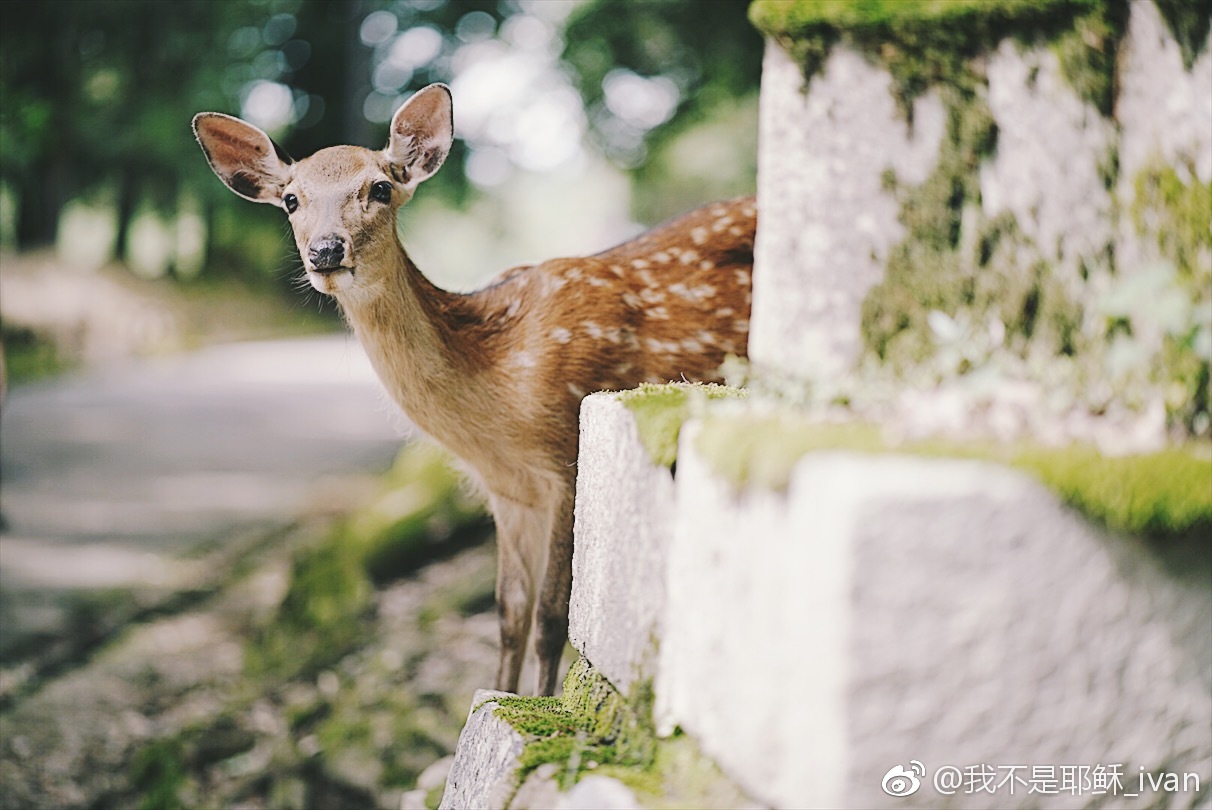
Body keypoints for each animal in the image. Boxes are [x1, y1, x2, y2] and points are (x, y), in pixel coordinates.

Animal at [193, 83, 755, 696]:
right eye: (292, 200)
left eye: (380, 187)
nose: (325, 250)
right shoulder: (508, 492)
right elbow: (509, 614)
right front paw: (496, 693)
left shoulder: (567, 460)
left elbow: (551, 619)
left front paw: (539, 701)